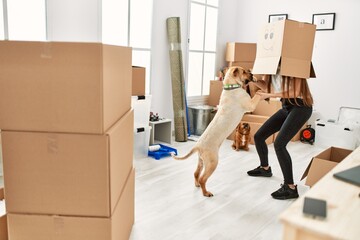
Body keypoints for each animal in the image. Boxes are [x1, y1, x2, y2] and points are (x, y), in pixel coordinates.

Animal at [170, 66, 260, 197]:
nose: (252, 74)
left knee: (196, 174)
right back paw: (206, 193)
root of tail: (198, 145)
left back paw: (197, 185)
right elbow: (258, 95)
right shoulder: (250, 104)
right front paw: (263, 91)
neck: (230, 86)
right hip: (212, 163)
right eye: (243, 71)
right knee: (203, 178)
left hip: (201, 161)